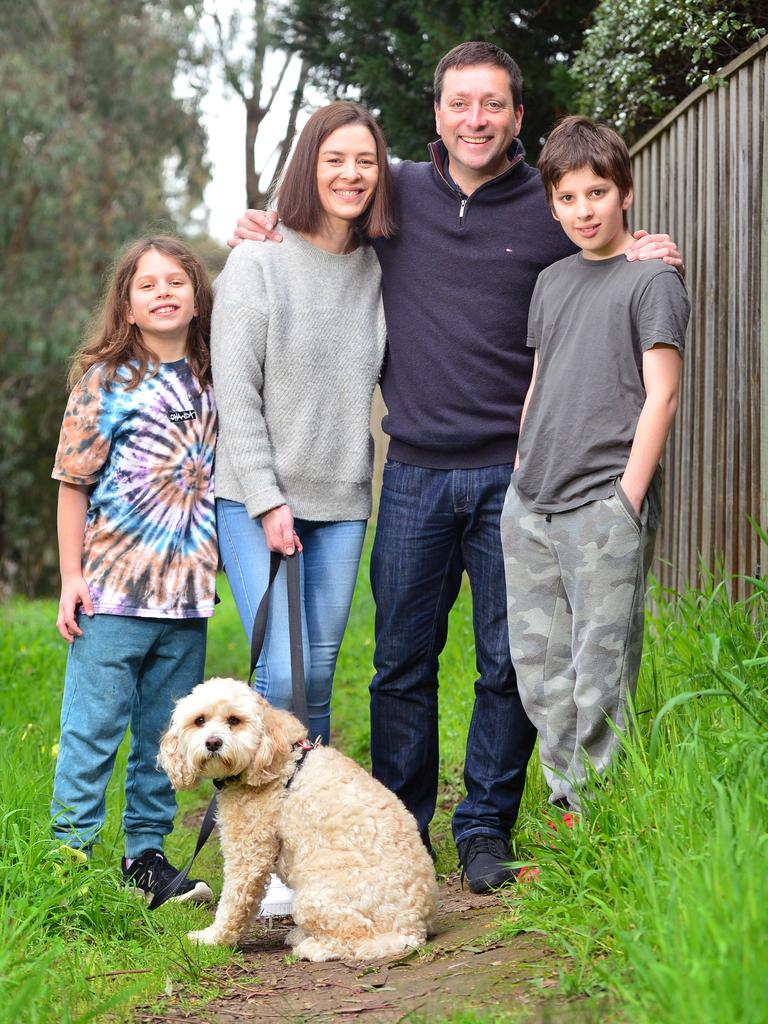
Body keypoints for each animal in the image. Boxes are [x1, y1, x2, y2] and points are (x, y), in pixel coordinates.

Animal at [160, 679, 438, 958]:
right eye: (199, 721)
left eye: (234, 720)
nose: (213, 742)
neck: (272, 763)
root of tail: (411, 929)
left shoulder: (248, 854)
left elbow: (233, 903)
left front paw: (211, 939)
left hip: (314, 895)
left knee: (355, 938)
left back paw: (310, 946)